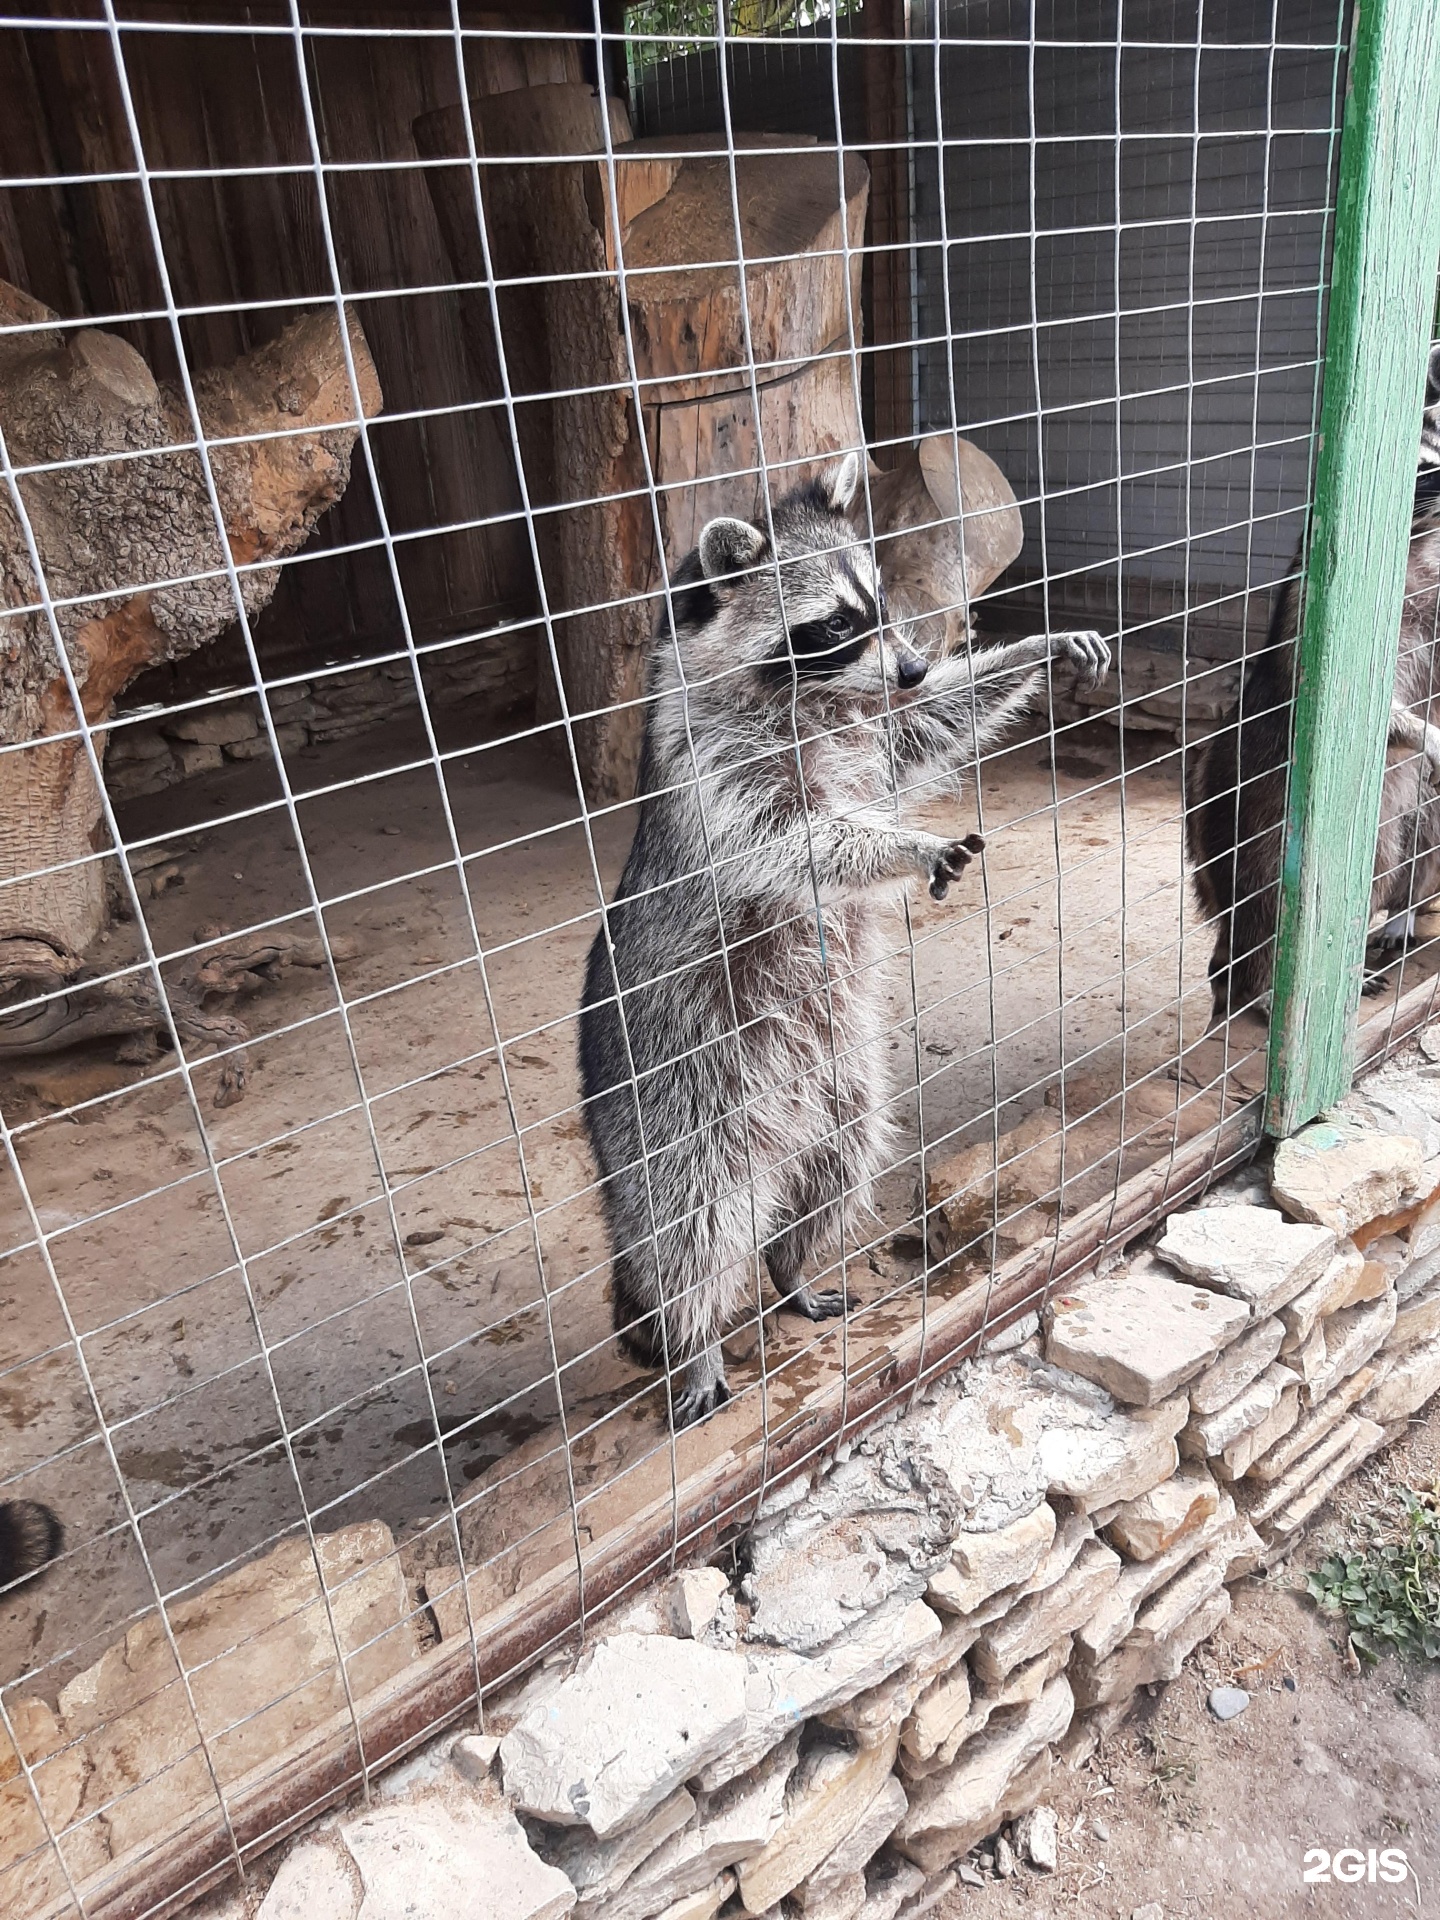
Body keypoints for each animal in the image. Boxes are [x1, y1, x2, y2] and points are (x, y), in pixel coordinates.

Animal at [579, 453, 1113, 1428]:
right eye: (834, 623)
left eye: (879, 596)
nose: (910, 663)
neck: (815, 698)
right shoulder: (716, 771)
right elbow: (797, 839)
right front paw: (900, 845)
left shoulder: (877, 725)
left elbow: (929, 725)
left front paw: (1033, 651)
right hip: (677, 1094)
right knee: (695, 1223)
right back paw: (693, 1337)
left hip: (836, 1078)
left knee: (839, 1161)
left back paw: (791, 1266)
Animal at [1190, 351, 1440, 1029]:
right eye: (1418, 468)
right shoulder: (1321, 613)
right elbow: (1366, 706)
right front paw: (1424, 729)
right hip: (1256, 821)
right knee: (1265, 908)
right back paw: (1261, 987)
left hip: (1394, 820)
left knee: (1414, 843)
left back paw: (1400, 913)